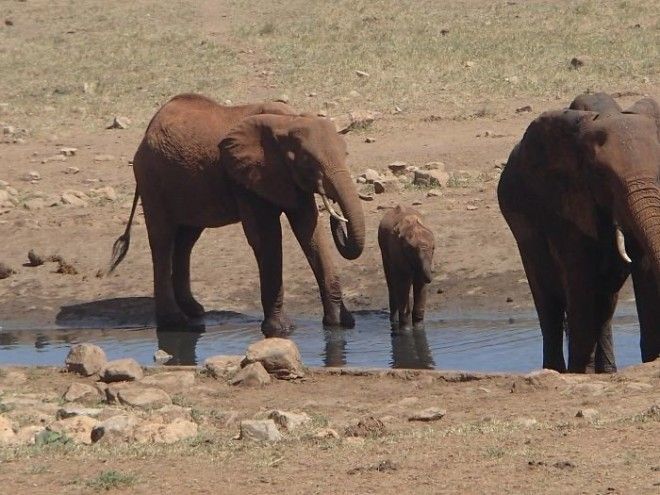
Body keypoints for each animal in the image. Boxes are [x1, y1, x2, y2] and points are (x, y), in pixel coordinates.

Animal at [105, 94, 368, 336]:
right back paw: (175, 322)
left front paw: (340, 324)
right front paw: (281, 330)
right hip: (152, 180)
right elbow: (266, 237)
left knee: (186, 240)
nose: (337, 218)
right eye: (308, 161)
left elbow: (311, 232)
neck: (287, 121)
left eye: (346, 154)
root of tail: (146, 134)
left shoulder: (287, 178)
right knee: (162, 240)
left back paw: (195, 311)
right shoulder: (246, 177)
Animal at [500, 96, 660, 372]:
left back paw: (606, 371)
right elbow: (580, 280)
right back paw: (558, 370)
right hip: (521, 226)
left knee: (605, 304)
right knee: (549, 305)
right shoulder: (565, 202)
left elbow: (646, 272)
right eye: (604, 176)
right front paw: (580, 373)